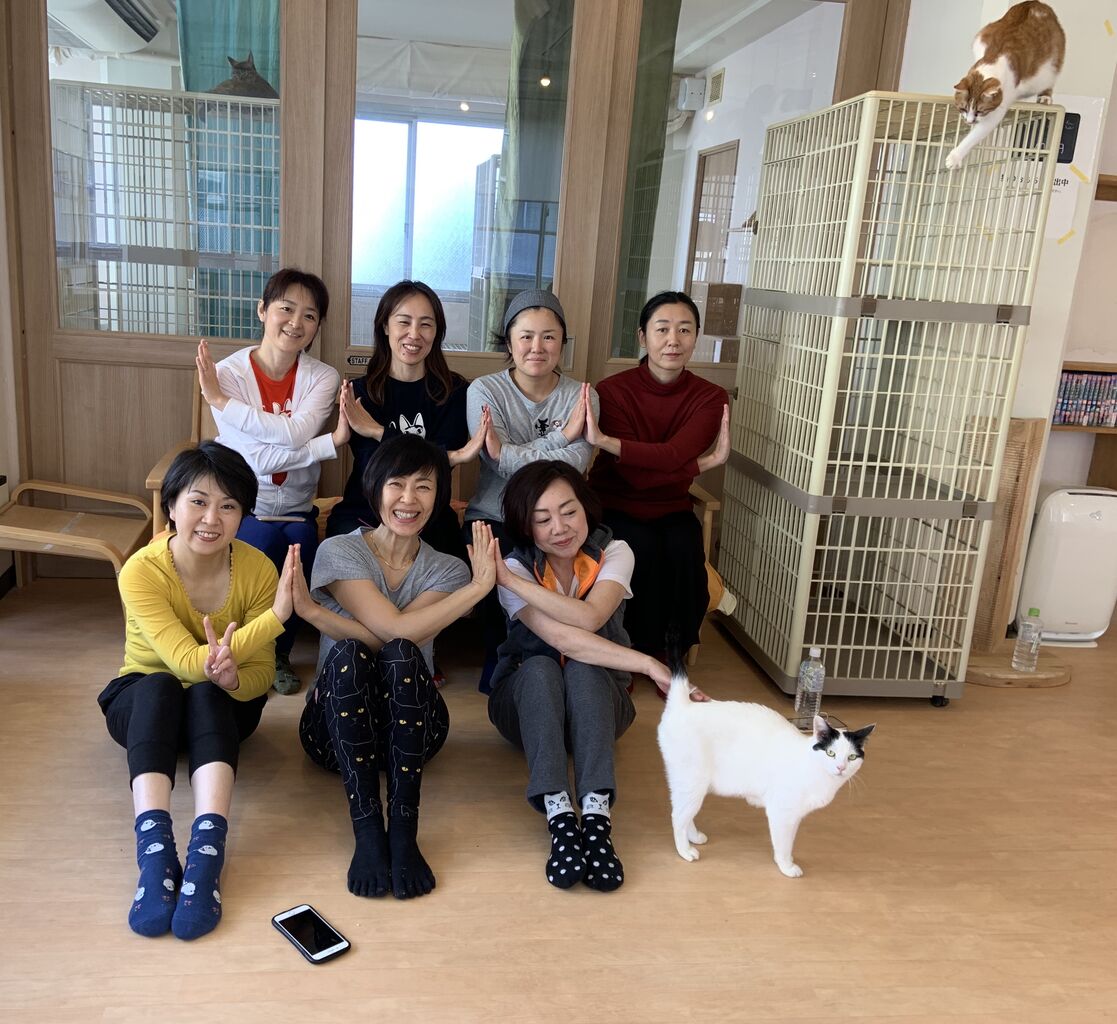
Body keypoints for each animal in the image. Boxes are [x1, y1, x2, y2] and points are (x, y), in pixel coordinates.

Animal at [657, 655, 875, 877]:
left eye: (852, 757)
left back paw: (694, 837)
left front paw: (787, 861)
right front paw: (786, 866)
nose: (840, 767)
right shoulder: (782, 812)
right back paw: (685, 851)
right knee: (678, 816)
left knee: (684, 813)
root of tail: (684, 704)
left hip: (691, 786)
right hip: (692, 782)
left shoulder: (795, 816)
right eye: (831, 753)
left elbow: (790, 839)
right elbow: (784, 843)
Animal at [945, 2, 1065, 170]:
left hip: (1048, 69)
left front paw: (954, 158)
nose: (969, 121)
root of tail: (1036, 3)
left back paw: (1045, 98)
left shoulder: (997, 110)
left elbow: (975, 135)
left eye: (980, 111)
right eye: (962, 108)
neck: (993, 60)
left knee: (1049, 81)